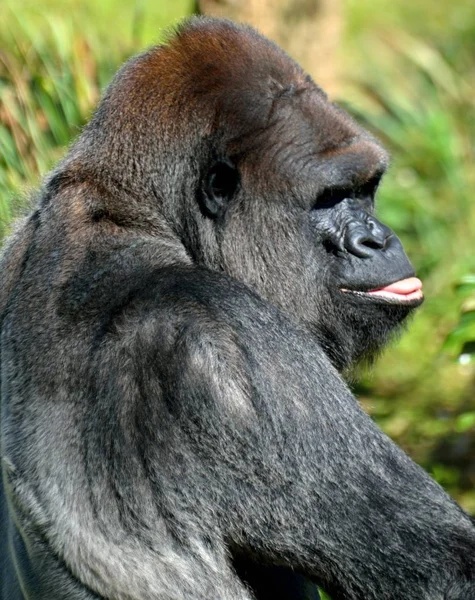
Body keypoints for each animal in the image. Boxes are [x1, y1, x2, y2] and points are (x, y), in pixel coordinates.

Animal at [0, 17, 475, 600]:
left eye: (365, 189)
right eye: (329, 197)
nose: (378, 240)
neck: (132, 208)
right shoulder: (236, 341)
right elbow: (450, 571)